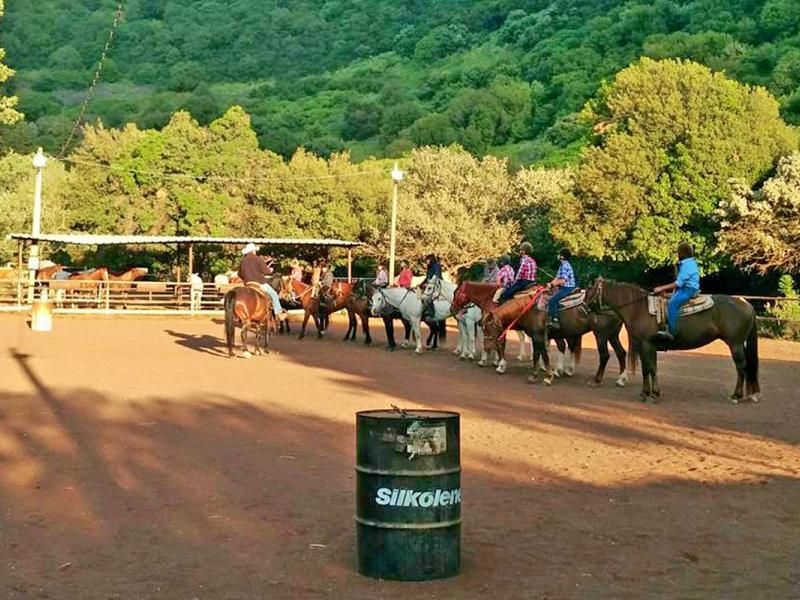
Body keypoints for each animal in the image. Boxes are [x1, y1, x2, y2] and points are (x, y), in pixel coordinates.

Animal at [584, 278, 760, 404]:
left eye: (590, 291)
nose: (583, 309)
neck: (638, 308)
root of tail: (747, 305)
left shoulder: (647, 344)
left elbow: (651, 369)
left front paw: (653, 394)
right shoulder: (645, 346)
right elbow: (648, 369)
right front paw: (646, 393)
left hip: (735, 344)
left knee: (741, 367)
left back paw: (736, 396)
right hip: (739, 345)